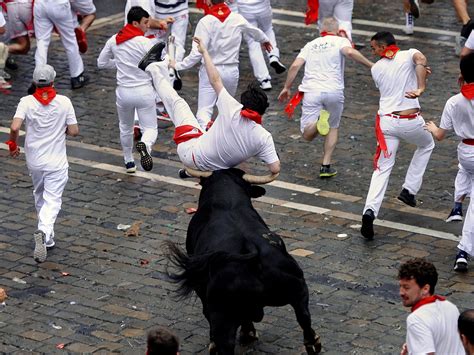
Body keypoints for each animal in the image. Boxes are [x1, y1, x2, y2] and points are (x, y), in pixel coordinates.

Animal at [167, 170, 322, 355]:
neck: (227, 202)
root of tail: (251, 250)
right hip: (298, 285)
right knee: (304, 316)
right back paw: (313, 343)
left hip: (222, 313)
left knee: (225, 343)